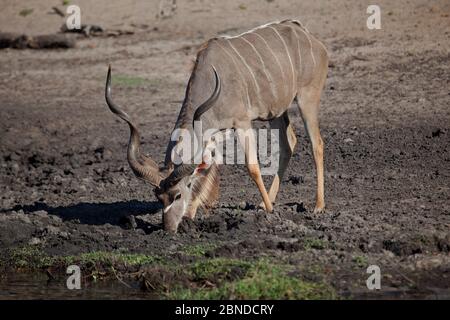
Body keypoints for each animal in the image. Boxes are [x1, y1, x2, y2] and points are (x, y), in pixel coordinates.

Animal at [106, 20, 330, 231]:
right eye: (158, 197)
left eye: (177, 195)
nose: (168, 228)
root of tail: (310, 37)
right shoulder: (214, 135)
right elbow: (206, 168)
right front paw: (190, 215)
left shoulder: (242, 122)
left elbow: (252, 166)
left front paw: (269, 210)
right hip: (275, 111)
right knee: (288, 143)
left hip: (307, 98)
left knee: (317, 143)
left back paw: (318, 206)